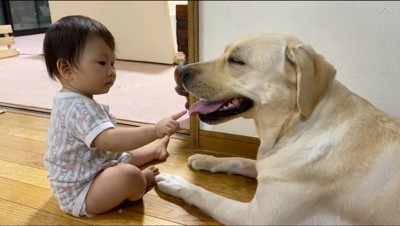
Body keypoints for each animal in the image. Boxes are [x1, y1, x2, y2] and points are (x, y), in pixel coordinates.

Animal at [154, 32, 400, 225]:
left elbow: (207, 196)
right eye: (225, 53)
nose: (181, 71)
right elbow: (239, 160)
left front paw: (176, 182)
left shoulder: (256, 216)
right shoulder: (269, 167)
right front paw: (206, 159)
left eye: (236, 60)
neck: (293, 127)